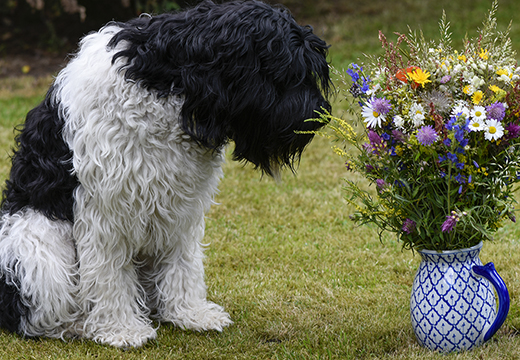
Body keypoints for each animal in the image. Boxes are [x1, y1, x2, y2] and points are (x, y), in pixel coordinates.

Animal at [0, 0, 332, 348]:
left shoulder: (180, 206)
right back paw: (80, 325)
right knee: (38, 315)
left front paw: (190, 312)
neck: (175, 90)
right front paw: (121, 328)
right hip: (37, 248)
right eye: (286, 74)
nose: (322, 115)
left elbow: (182, 263)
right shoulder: (106, 209)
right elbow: (109, 273)